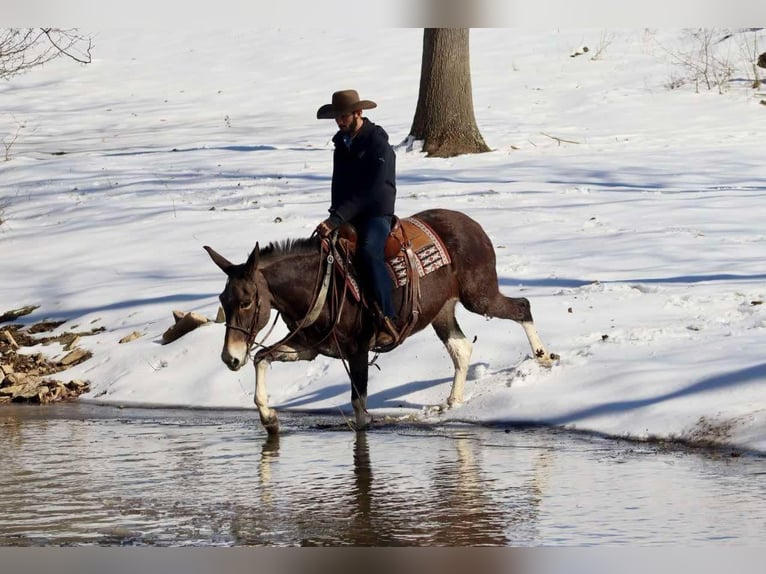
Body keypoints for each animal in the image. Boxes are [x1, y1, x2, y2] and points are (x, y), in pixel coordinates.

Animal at [206, 209, 560, 434]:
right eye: (223, 300)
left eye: (247, 301)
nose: (229, 357)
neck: (318, 286)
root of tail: (473, 225)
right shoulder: (307, 347)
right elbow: (261, 358)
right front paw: (269, 419)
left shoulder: (358, 349)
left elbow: (359, 407)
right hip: (442, 310)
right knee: (461, 348)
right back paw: (453, 400)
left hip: (479, 296)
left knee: (522, 307)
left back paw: (543, 357)